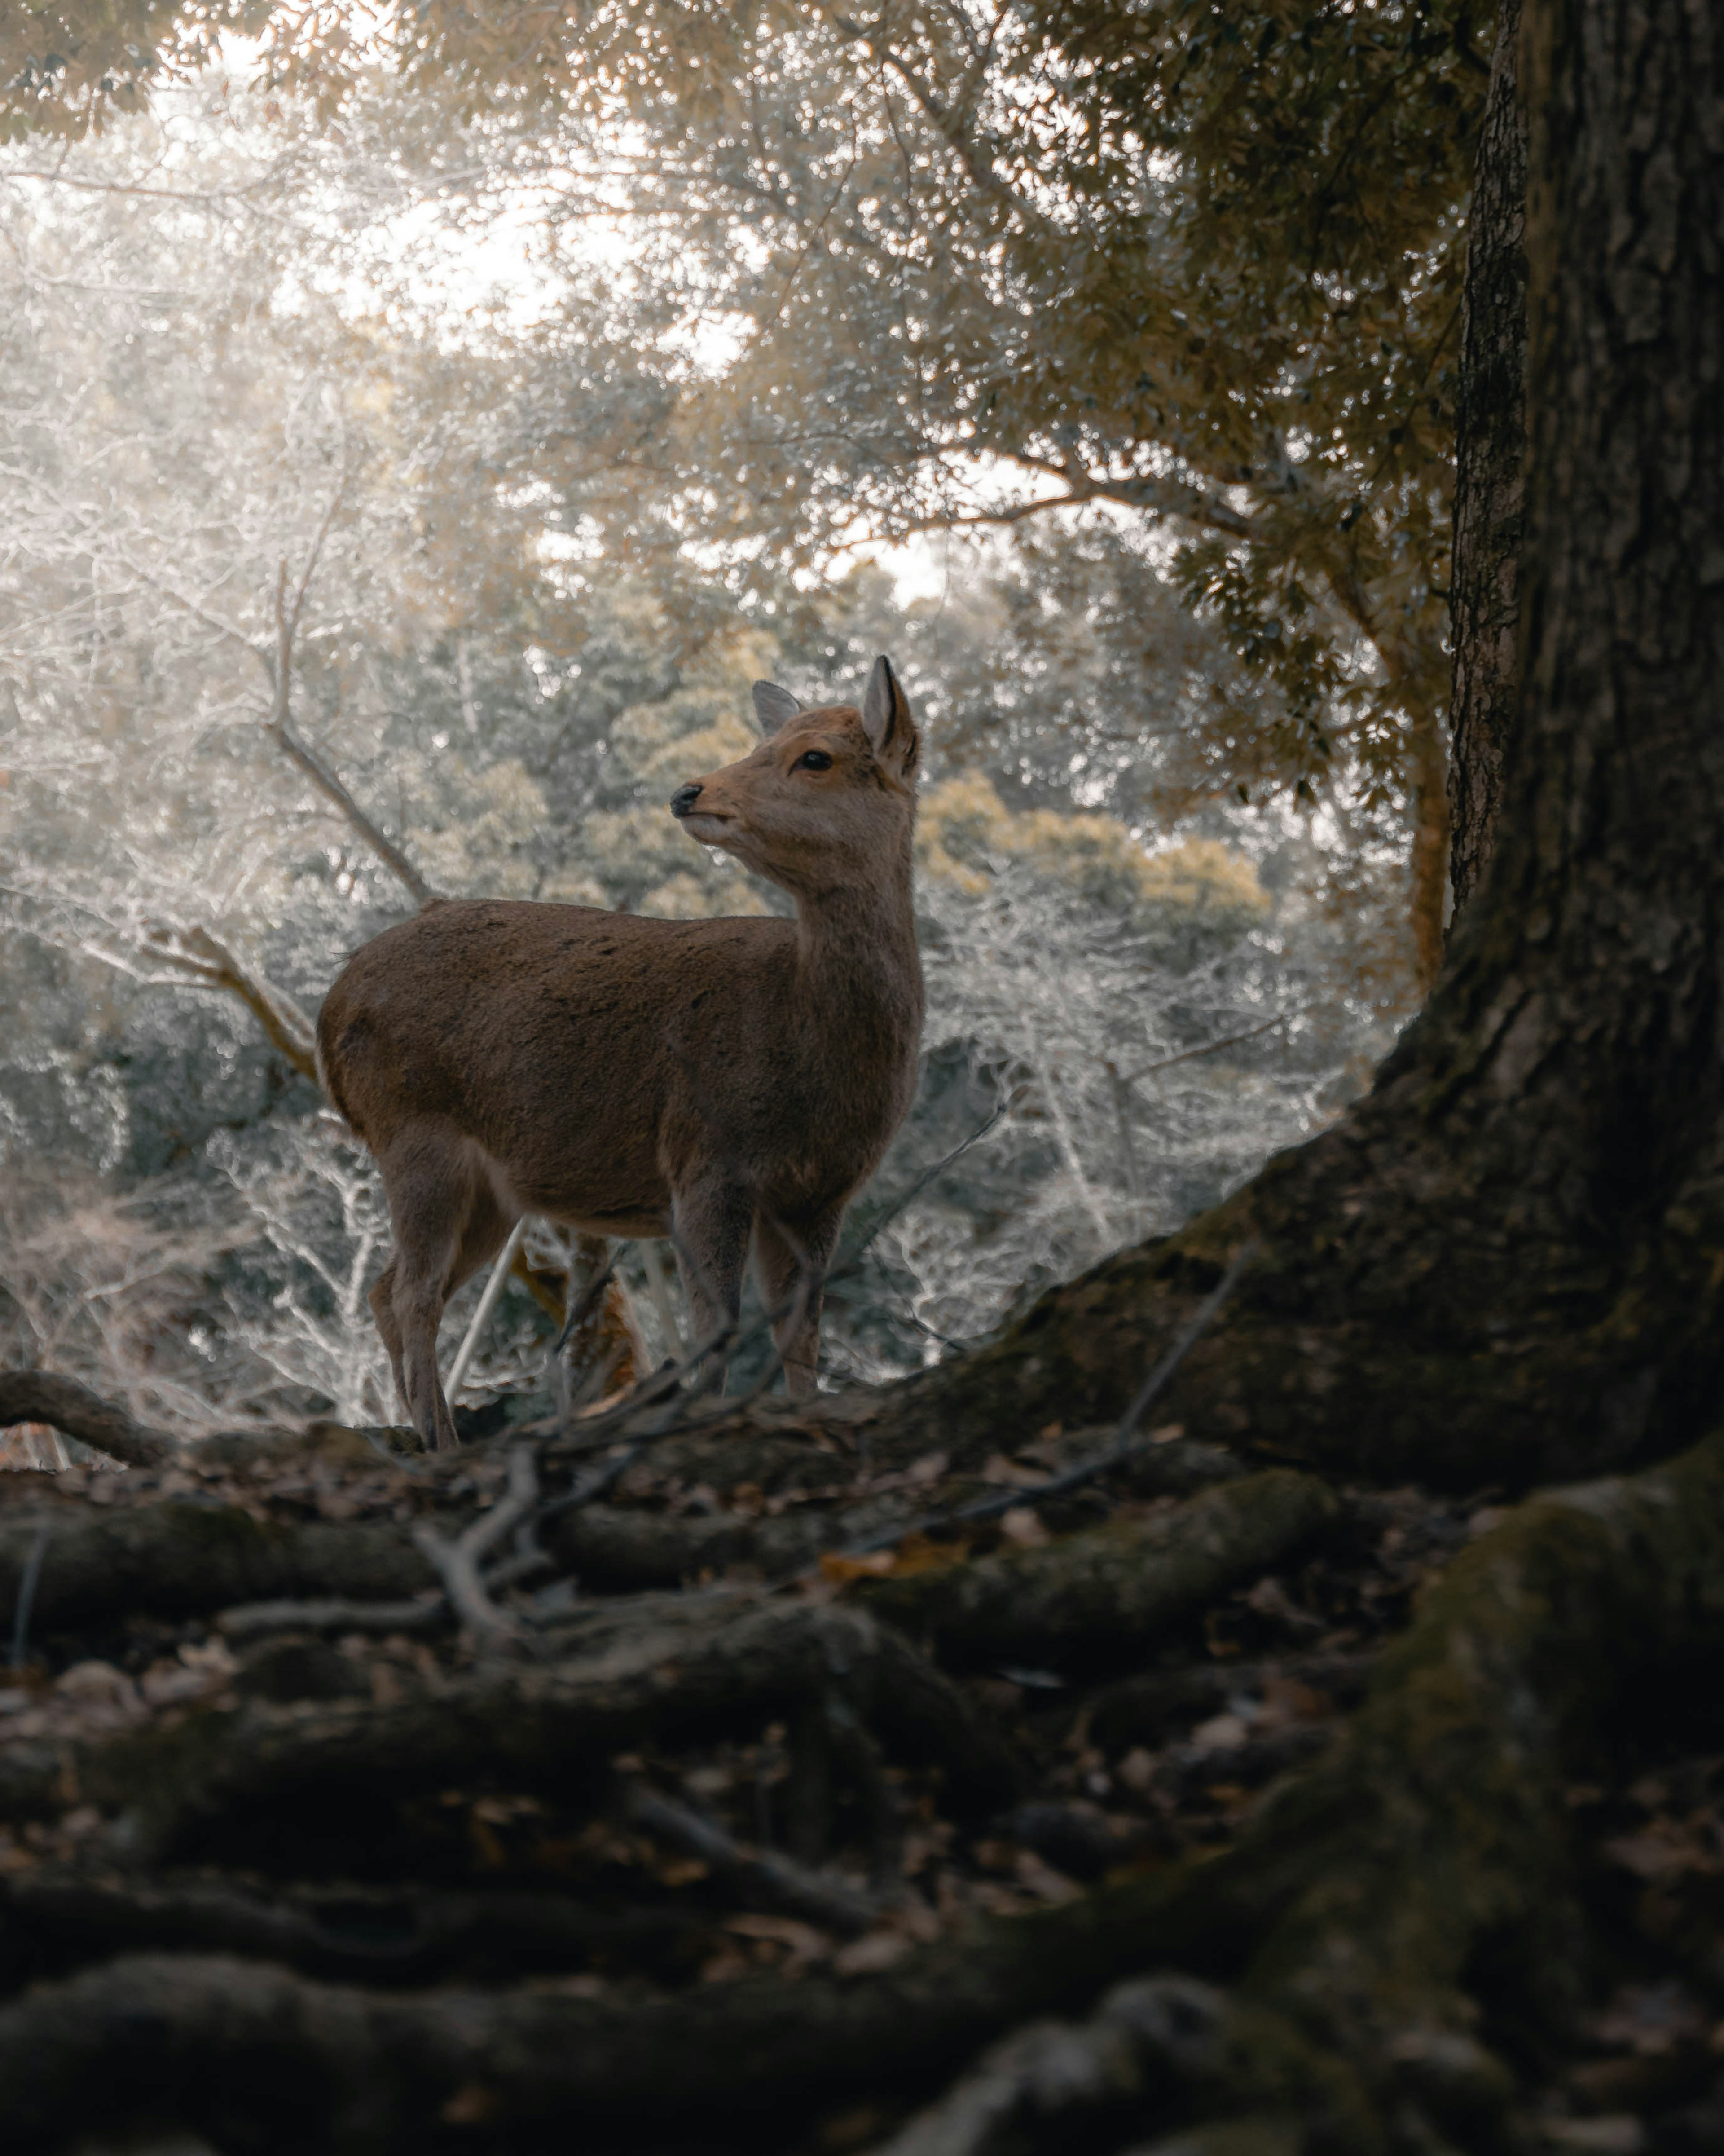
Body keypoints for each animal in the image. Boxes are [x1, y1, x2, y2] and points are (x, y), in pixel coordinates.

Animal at [314, 655, 922, 1449]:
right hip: (413, 1129)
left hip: (490, 1188)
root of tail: (329, 1010)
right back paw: (444, 1444)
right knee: (414, 1293)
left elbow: (802, 1337)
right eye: (767, 742)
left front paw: (807, 1423)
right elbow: (716, 1326)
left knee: (390, 1292)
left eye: (814, 756)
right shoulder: (705, 1157)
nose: (689, 791)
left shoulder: (822, 1192)